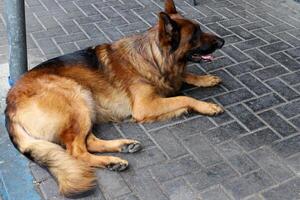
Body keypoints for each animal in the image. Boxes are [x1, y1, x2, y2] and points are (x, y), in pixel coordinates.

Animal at [4, 0, 225, 196]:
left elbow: (185, 76)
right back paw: (112, 160)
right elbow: (183, 98)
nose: (222, 41)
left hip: (85, 107)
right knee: (76, 152)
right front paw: (207, 106)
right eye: (196, 35)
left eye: (200, 30)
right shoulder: (145, 106)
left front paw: (205, 79)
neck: (152, 57)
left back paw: (122, 148)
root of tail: (9, 107)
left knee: (88, 142)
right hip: (77, 96)